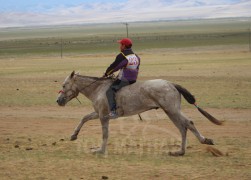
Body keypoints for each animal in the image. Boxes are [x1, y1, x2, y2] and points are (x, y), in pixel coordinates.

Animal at [56, 71, 222, 156]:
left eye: (64, 85)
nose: (58, 100)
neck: (98, 89)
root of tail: (171, 84)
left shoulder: (103, 116)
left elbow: (105, 133)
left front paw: (100, 150)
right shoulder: (99, 113)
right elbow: (84, 118)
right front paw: (73, 135)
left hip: (172, 110)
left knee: (188, 123)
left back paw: (205, 140)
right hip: (170, 111)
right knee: (182, 127)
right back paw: (179, 151)